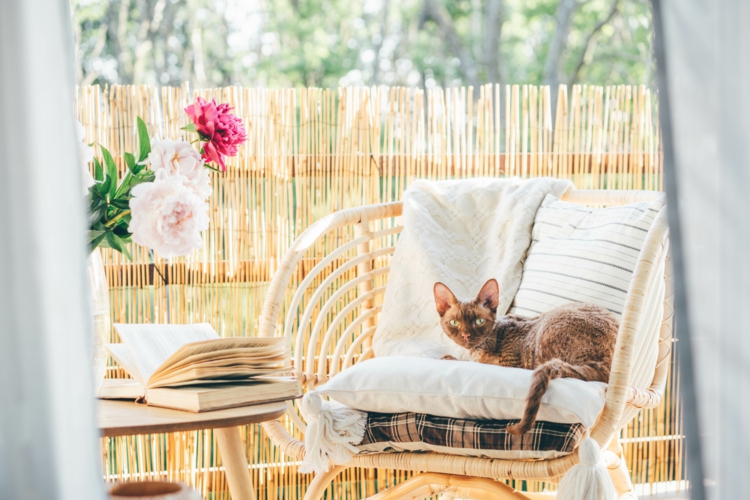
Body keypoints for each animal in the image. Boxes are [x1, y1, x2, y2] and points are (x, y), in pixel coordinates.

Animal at [432, 280, 620, 436]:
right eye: (454, 323)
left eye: (479, 321)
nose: (465, 335)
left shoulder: (509, 362)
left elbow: (464, 360)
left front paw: (449, 357)